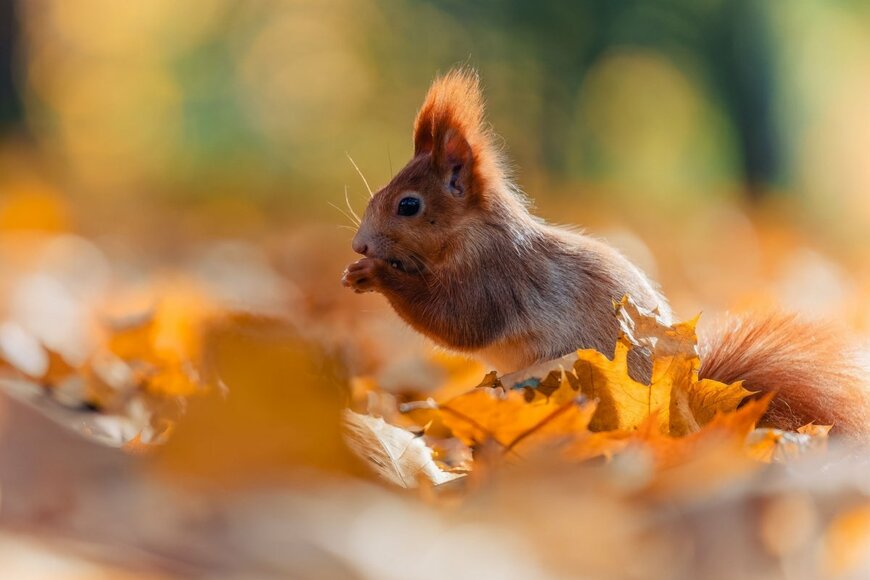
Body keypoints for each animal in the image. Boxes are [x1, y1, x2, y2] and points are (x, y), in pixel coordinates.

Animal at [344, 68, 870, 438]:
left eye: (408, 206)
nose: (359, 244)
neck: (470, 233)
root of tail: (682, 410)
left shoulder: (495, 276)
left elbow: (459, 321)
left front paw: (374, 274)